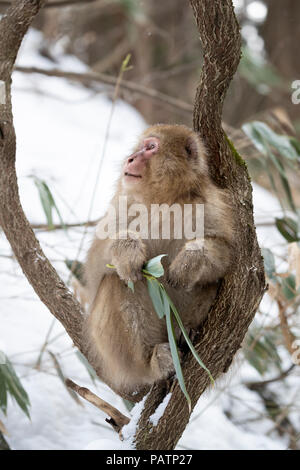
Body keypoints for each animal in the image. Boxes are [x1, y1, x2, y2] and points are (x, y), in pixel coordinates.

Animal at [83, 123, 236, 398]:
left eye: (151, 147)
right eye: (141, 146)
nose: (130, 158)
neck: (165, 200)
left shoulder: (211, 206)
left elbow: (224, 253)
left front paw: (190, 261)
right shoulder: (124, 204)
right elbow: (96, 268)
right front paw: (127, 249)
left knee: (210, 286)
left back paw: (187, 334)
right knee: (117, 281)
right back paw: (151, 363)